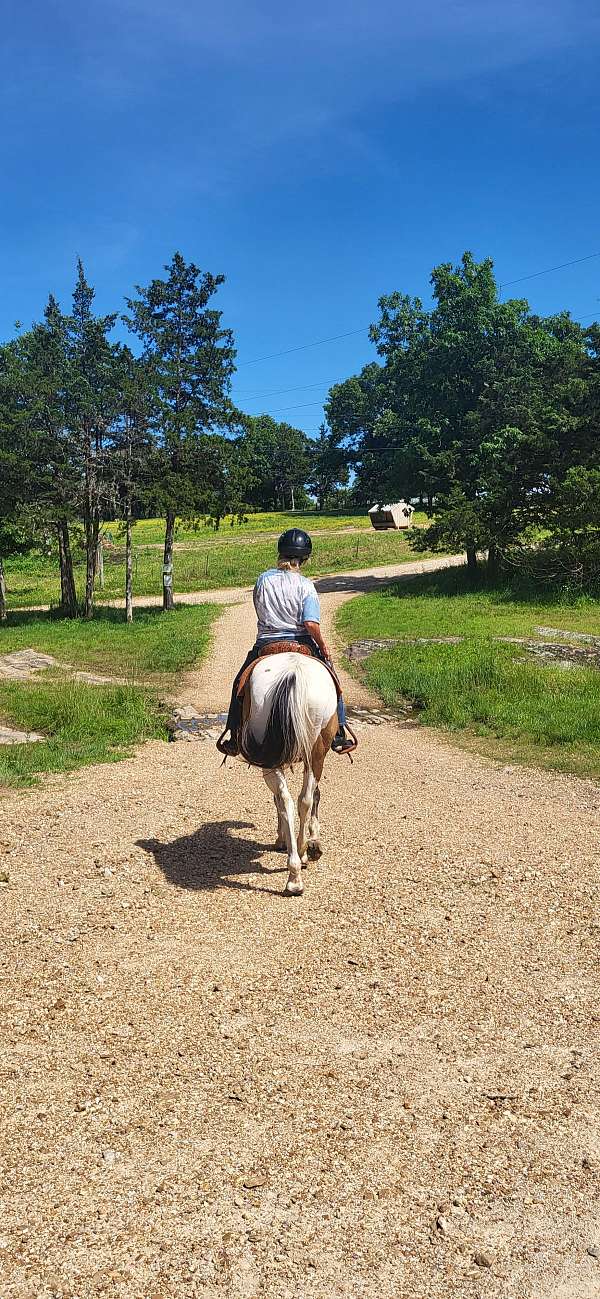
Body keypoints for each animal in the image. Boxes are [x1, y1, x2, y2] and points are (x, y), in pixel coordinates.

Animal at [240, 649, 342, 893]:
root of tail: (293, 674)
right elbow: (314, 797)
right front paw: (311, 843)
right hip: (315, 752)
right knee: (301, 799)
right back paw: (300, 858)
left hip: (276, 758)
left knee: (287, 799)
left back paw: (294, 874)